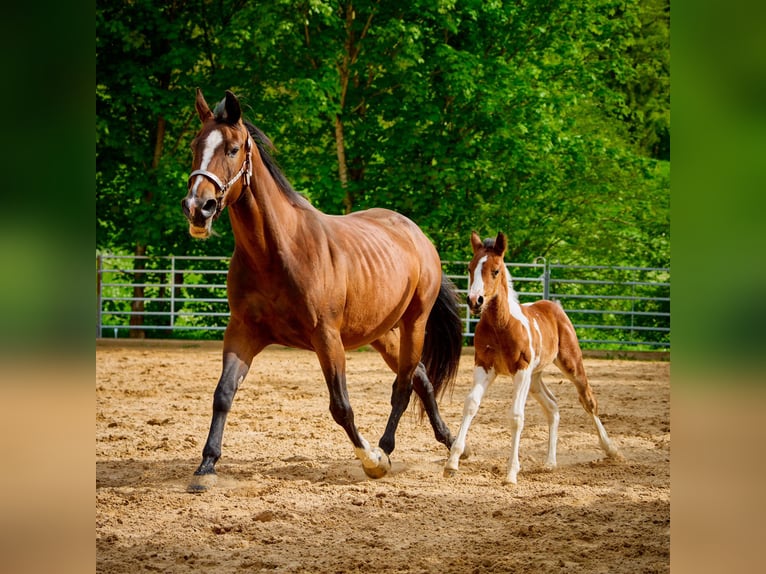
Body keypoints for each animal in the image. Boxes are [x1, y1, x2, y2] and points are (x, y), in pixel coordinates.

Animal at [183, 91, 464, 496]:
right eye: (195, 146)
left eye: (233, 149)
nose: (197, 208)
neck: (277, 251)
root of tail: (418, 236)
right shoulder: (242, 332)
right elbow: (223, 394)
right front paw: (206, 466)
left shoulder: (326, 337)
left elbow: (341, 406)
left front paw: (371, 460)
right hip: (383, 334)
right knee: (421, 379)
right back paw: (452, 444)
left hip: (414, 324)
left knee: (403, 385)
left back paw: (386, 450)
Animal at [444, 232, 624, 484]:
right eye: (470, 268)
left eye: (495, 270)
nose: (474, 300)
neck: (501, 325)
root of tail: (553, 305)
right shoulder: (484, 366)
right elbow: (471, 404)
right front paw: (452, 463)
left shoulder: (521, 370)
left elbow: (516, 416)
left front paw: (511, 473)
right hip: (535, 378)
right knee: (553, 407)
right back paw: (550, 463)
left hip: (569, 364)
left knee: (588, 400)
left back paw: (612, 450)